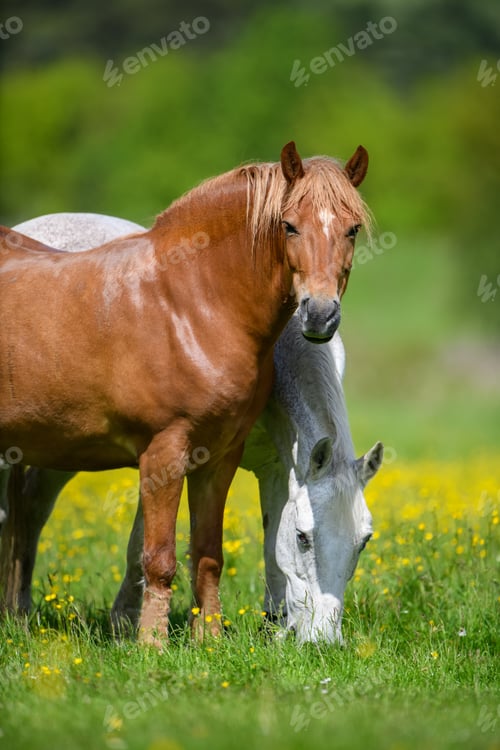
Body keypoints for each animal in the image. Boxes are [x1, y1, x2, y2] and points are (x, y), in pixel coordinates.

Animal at [0, 142, 370, 644]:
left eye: (352, 229)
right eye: (289, 225)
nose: (320, 315)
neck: (189, 306)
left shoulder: (228, 459)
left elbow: (212, 552)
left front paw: (220, 636)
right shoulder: (164, 452)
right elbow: (155, 555)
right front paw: (146, 640)